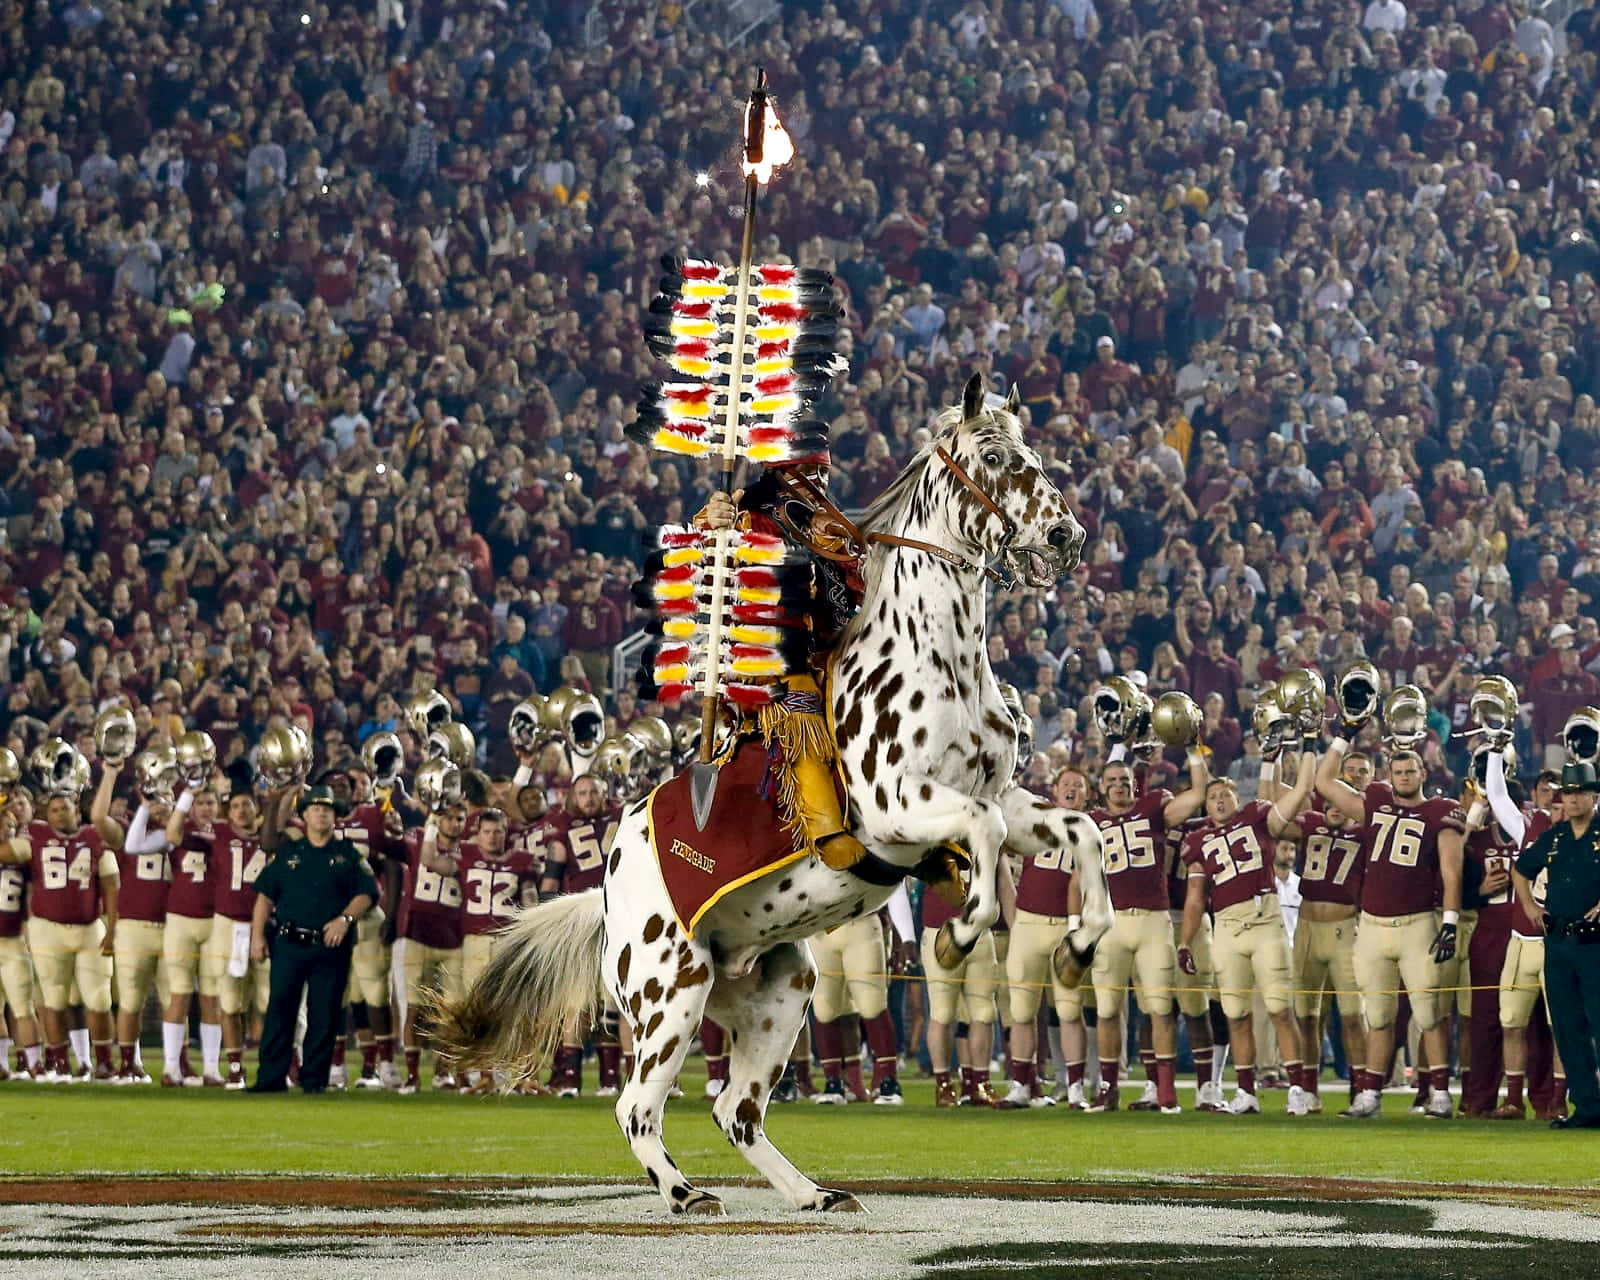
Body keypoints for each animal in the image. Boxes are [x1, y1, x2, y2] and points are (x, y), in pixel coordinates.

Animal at [435, 374, 1113, 1216]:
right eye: (992, 458)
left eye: (1035, 455)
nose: (1065, 537)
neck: (938, 658)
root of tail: (609, 888)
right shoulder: (897, 805)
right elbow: (982, 835)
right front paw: (960, 933)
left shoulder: (1006, 796)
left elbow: (1081, 830)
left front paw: (1078, 948)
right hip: (671, 991)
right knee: (637, 1106)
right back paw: (685, 1193)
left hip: (782, 988)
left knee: (737, 1109)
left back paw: (814, 1194)